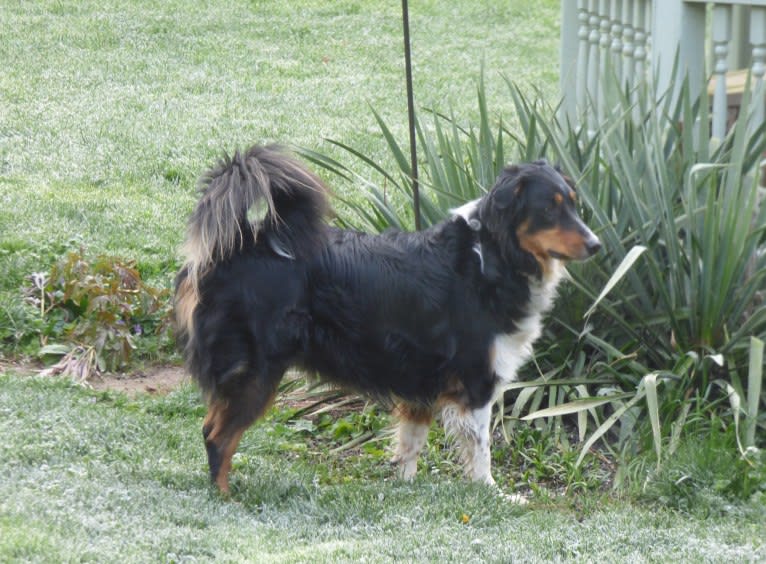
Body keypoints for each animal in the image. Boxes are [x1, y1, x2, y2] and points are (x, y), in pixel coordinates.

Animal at [177, 145, 604, 494]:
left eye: (574, 205)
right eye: (548, 210)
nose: (597, 245)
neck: (494, 256)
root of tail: (241, 243)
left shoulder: (421, 381)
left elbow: (411, 443)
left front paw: (405, 487)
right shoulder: (475, 382)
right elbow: (481, 446)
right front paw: (492, 493)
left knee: (211, 428)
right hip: (257, 370)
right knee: (217, 435)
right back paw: (226, 497)